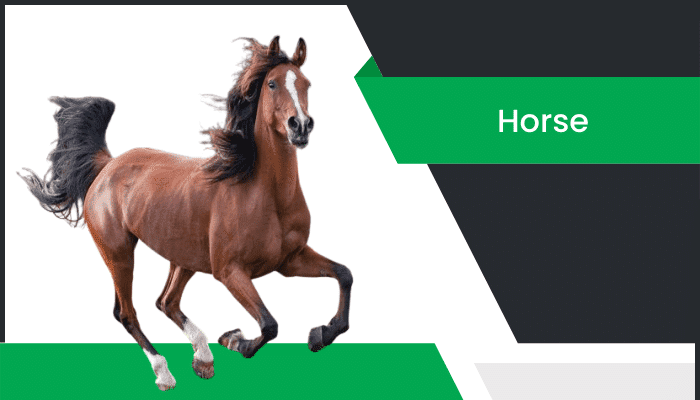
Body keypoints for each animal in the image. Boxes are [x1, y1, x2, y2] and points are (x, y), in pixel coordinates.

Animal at [19, 36, 353, 391]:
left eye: (306, 83)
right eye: (273, 83)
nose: (300, 126)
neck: (265, 194)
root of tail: (107, 166)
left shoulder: (290, 261)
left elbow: (344, 274)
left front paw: (321, 334)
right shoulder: (230, 271)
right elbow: (269, 324)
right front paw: (236, 340)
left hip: (183, 257)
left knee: (166, 302)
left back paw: (203, 358)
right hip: (119, 253)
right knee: (127, 312)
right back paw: (165, 372)